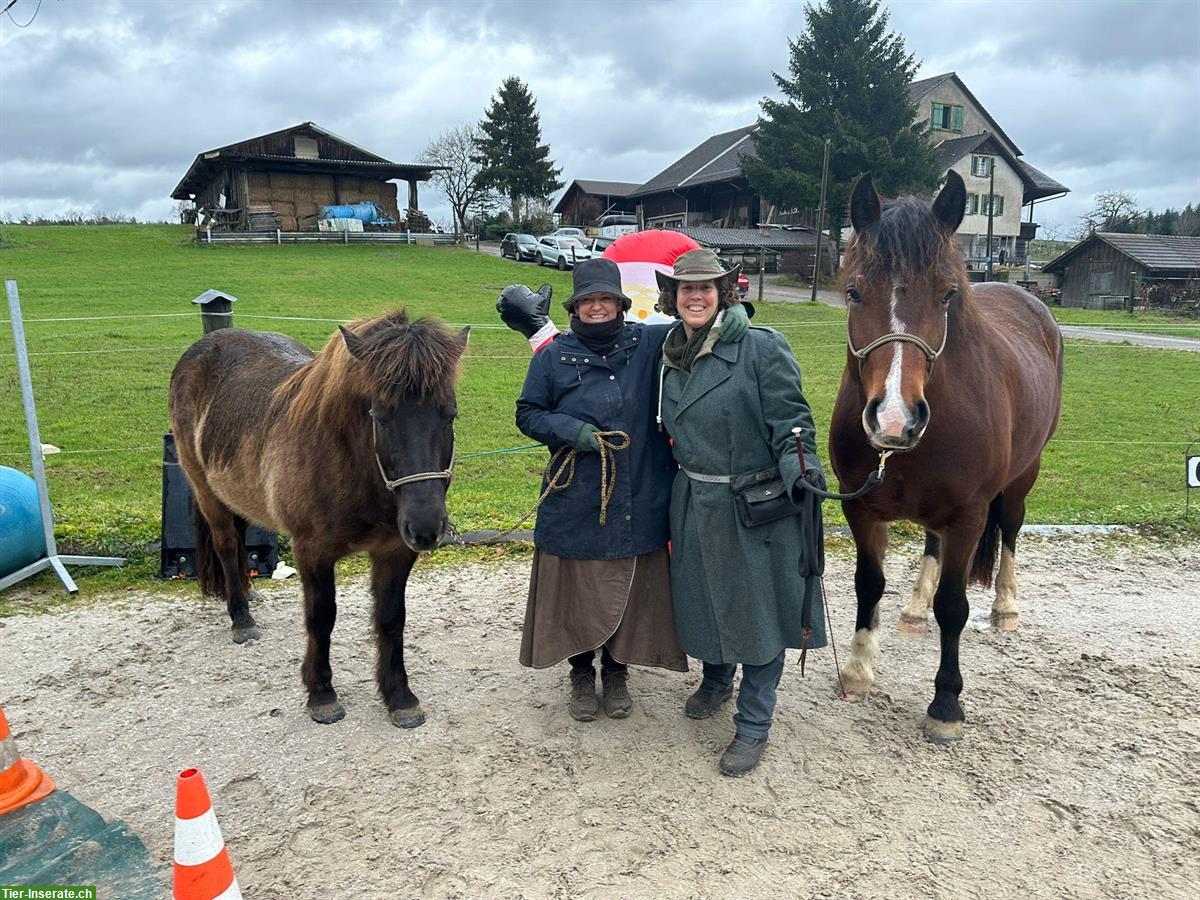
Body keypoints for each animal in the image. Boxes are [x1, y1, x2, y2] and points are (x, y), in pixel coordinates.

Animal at [169, 309, 468, 724]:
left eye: (449, 414)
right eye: (380, 415)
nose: (426, 528)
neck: (350, 464)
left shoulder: (394, 550)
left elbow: (391, 618)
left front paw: (399, 696)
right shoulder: (312, 551)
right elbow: (321, 617)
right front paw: (322, 694)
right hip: (205, 489)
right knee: (227, 545)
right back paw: (242, 619)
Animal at [830, 172, 1065, 744]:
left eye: (947, 294)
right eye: (854, 290)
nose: (895, 419)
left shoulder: (969, 515)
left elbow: (954, 606)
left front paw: (946, 704)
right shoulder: (859, 507)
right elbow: (868, 584)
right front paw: (858, 670)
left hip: (1022, 479)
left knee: (1011, 529)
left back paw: (1006, 607)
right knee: (932, 549)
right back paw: (914, 610)